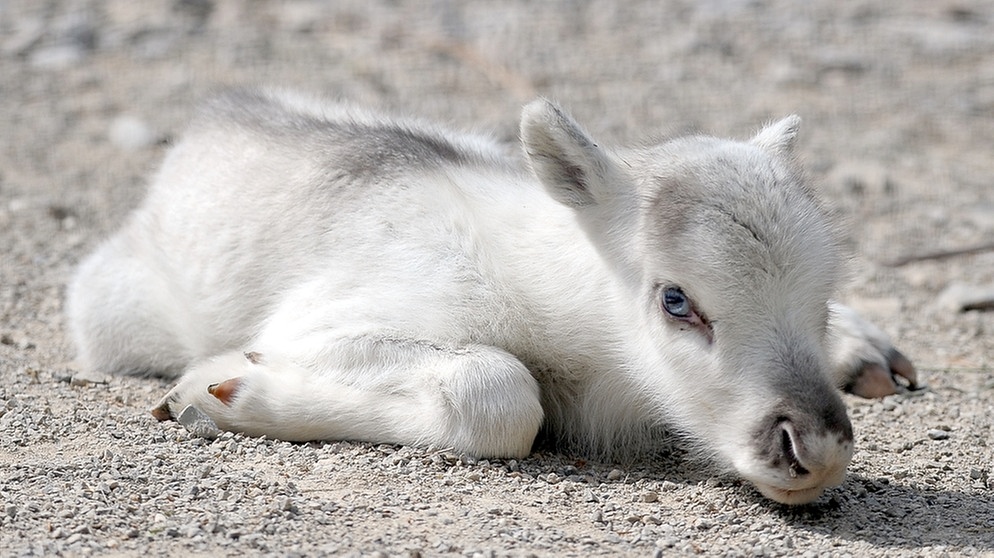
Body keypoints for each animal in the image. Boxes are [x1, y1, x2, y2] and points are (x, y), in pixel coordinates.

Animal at [71, 88, 916, 508]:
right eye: (677, 300)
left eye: (823, 291)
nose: (814, 448)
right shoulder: (320, 322)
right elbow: (503, 395)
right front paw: (218, 390)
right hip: (114, 312)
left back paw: (871, 354)